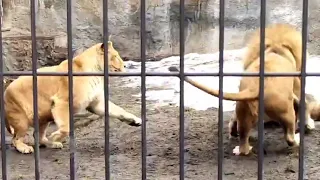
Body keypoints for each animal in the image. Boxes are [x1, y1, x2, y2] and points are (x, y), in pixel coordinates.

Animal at [4, 41, 142, 154]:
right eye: (116, 56)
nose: (125, 66)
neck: (98, 74)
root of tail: (6, 89)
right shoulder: (61, 102)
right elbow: (66, 127)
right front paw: (55, 136)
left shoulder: (97, 103)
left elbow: (119, 110)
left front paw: (135, 121)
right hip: (21, 119)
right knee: (15, 138)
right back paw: (25, 148)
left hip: (42, 118)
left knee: (38, 136)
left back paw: (51, 143)